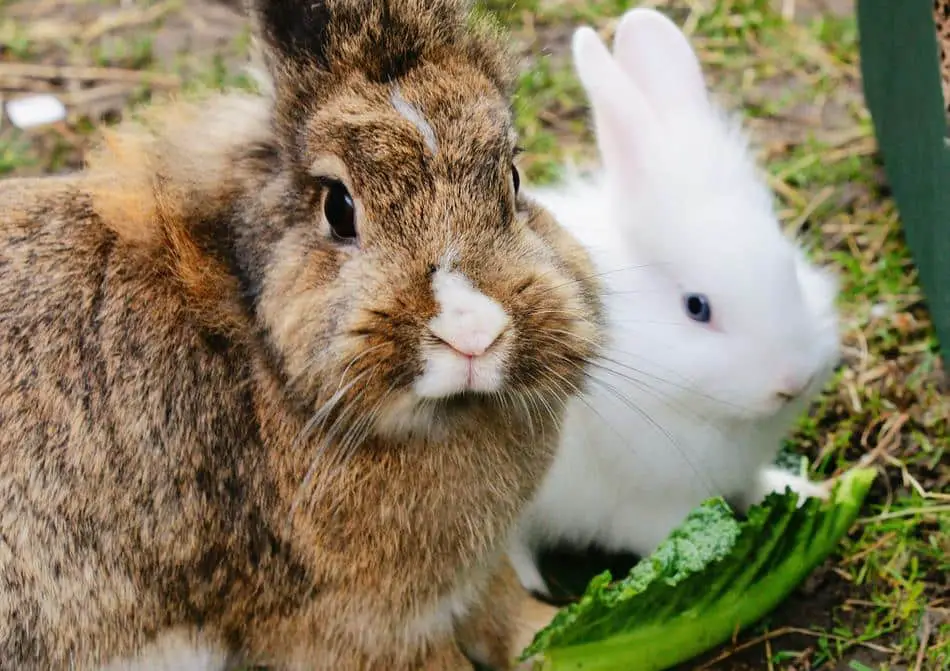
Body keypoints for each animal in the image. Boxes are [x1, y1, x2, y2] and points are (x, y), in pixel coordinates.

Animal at [0, 1, 608, 671]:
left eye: (515, 179)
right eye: (338, 208)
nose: (473, 333)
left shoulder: (471, 582)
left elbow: (509, 613)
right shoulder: (357, 630)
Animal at [512, 9, 840, 600]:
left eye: (789, 268)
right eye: (696, 307)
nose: (792, 382)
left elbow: (758, 485)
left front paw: (808, 493)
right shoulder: (648, 508)